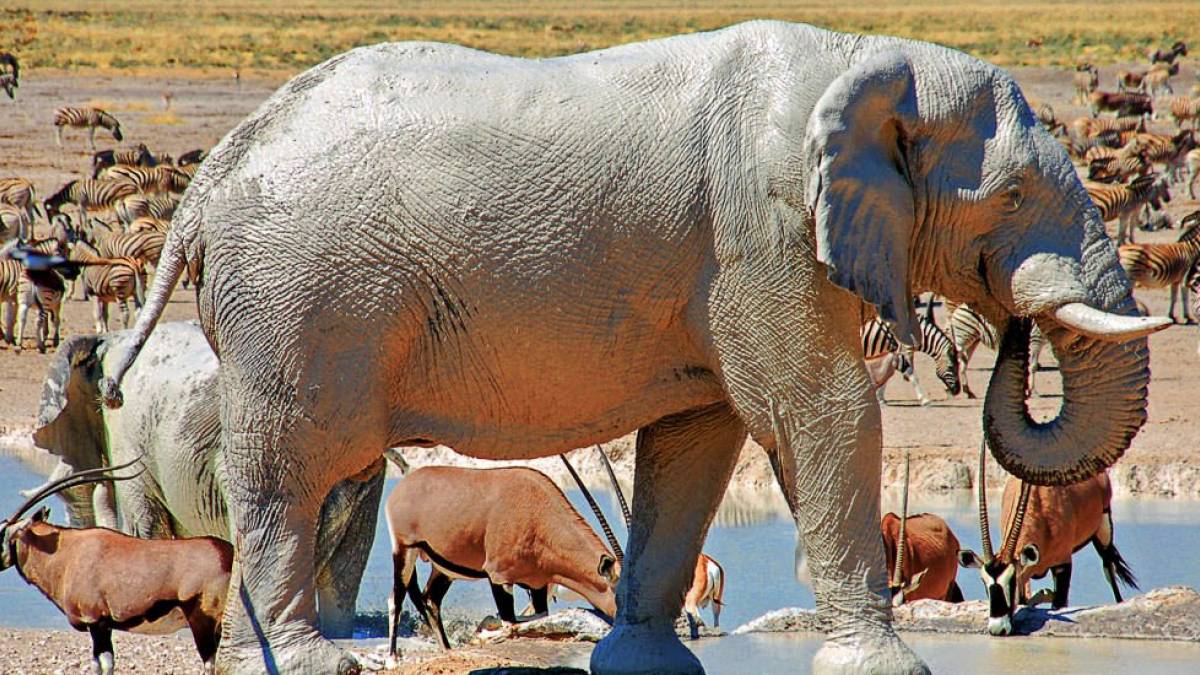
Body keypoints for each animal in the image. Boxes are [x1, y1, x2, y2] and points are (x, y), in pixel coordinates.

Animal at [99, 20, 1168, 675]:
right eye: (1015, 197)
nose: (1016, 325)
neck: (863, 51)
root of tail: (216, 166)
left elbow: (697, 442)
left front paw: (645, 662)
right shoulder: (760, 232)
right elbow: (820, 411)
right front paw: (887, 664)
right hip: (298, 300)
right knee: (288, 472)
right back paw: (307, 661)